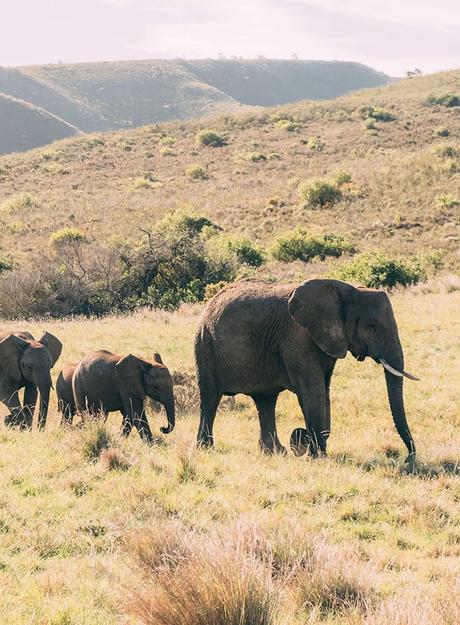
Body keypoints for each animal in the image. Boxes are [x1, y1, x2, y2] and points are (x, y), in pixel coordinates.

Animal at [196, 280, 418, 460]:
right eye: (371, 326)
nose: (408, 460)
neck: (347, 289)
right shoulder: (297, 338)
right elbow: (313, 390)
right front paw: (317, 456)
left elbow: (324, 390)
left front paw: (316, 450)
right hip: (205, 343)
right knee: (210, 397)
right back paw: (206, 450)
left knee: (265, 400)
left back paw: (275, 453)